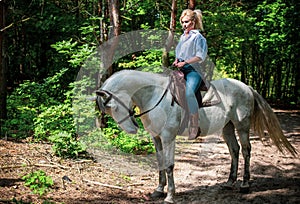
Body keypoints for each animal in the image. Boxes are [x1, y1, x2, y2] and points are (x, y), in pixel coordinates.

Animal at [95, 69, 296, 202]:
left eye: (111, 107)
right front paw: (158, 190)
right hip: (227, 127)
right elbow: (160, 163)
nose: (131, 129)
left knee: (246, 150)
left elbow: (169, 165)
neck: (154, 95)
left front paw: (170, 196)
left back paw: (245, 185)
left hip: (242, 125)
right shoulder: (157, 138)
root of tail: (245, 86)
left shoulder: (168, 136)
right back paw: (229, 182)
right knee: (234, 150)